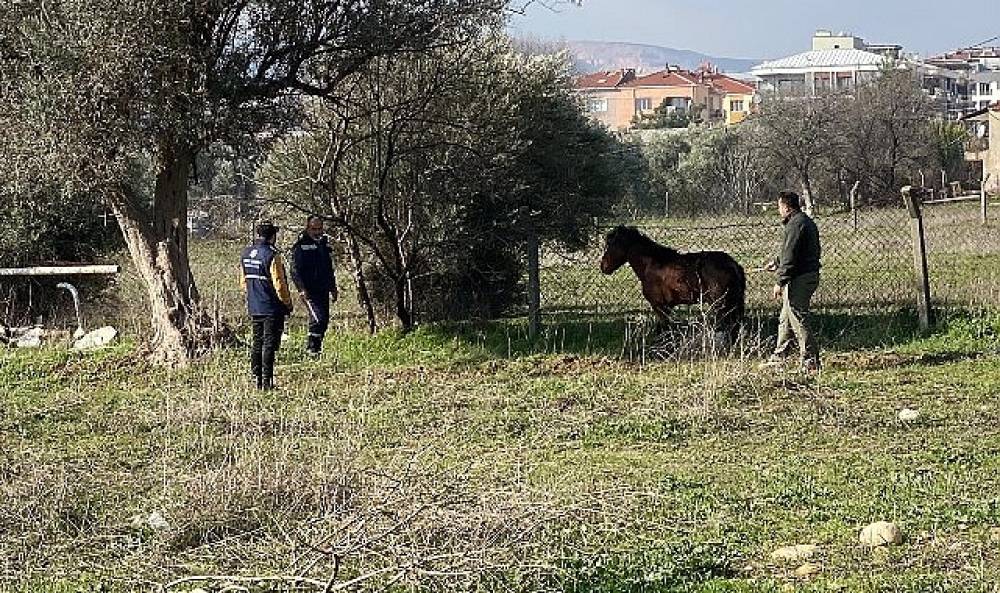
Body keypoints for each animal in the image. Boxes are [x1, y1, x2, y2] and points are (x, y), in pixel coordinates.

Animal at [596, 227, 748, 338]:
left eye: (612, 245)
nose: (604, 266)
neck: (652, 263)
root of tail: (733, 265)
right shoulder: (666, 308)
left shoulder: (660, 307)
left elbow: (664, 330)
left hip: (721, 305)